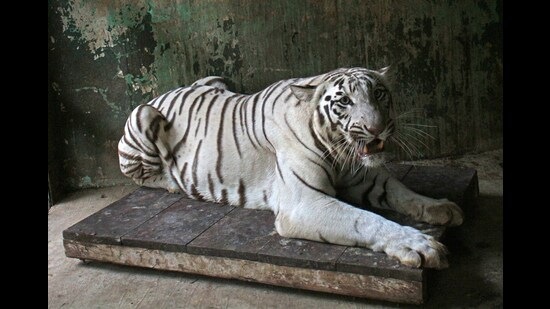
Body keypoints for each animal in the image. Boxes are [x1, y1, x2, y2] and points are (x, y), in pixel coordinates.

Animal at [118, 67, 464, 268]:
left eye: (379, 94)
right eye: (345, 102)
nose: (377, 129)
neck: (338, 147)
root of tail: (164, 92)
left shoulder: (362, 177)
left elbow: (403, 192)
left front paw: (441, 207)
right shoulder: (304, 203)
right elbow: (366, 220)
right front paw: (417, 244)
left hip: (213, 80)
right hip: (143, 114)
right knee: (142, 175)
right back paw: (172, 182)